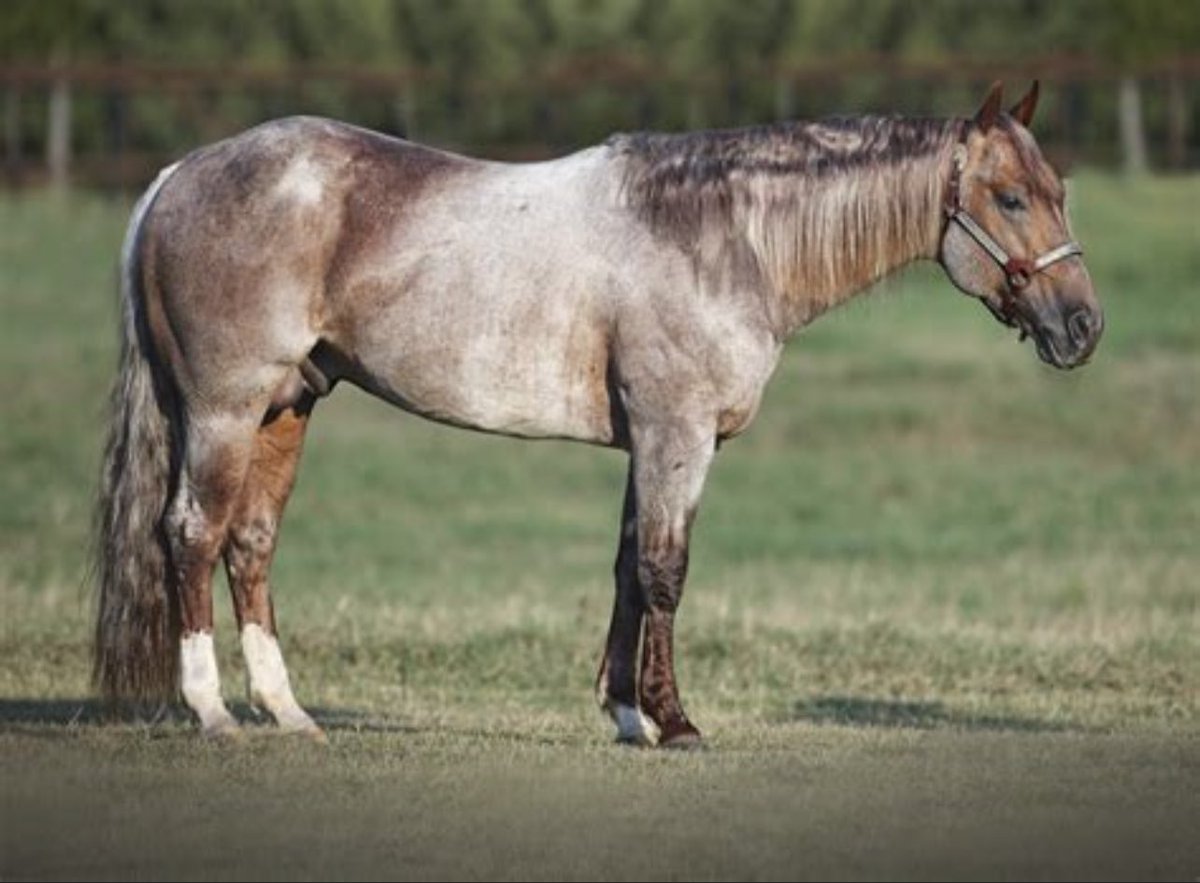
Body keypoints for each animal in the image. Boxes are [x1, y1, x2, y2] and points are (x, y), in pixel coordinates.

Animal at [93, 81, 1102, 747]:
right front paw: (676, 720)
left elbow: (626, 567)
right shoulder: (677, 435)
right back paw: (212, 710)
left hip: (286, 408)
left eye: (1059, 192)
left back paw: (290, 712)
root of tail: (179, 174)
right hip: (224, 410)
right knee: (190, 533)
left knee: (250, 542)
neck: (722, 236)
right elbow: (664, 571)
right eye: (1011, 197)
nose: (1082, 327)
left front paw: (624, 714)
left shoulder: (649, 443)